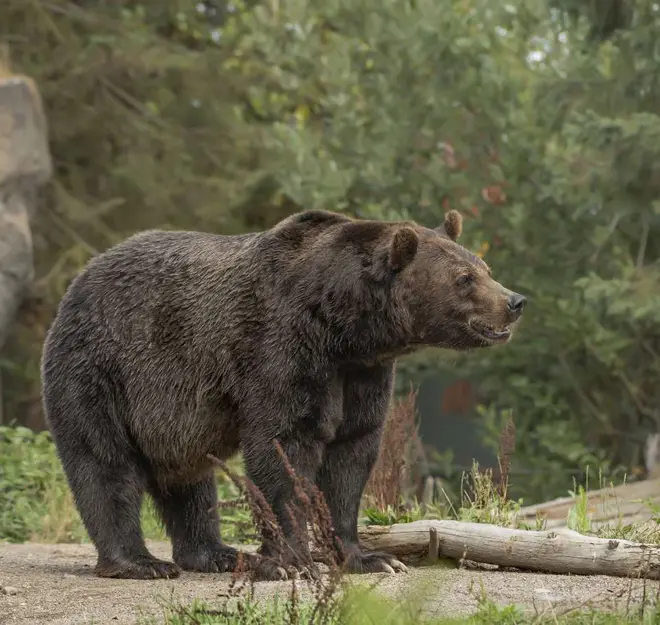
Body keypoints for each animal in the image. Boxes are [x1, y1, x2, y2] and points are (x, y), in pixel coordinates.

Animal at [41, 210, 524, 580]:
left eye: (484, 268)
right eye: (464, 278)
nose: (515, 301)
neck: (344, 328)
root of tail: (79, 280)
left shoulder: (361, 375)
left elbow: (351, 456)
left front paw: (370, 558)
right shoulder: (281, 349)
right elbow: (283, 448)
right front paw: (291, 562)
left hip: (172, 416)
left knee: (190, 481)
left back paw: (216, 553)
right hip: (102, 370)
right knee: (105, 462)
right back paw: (140, 563)